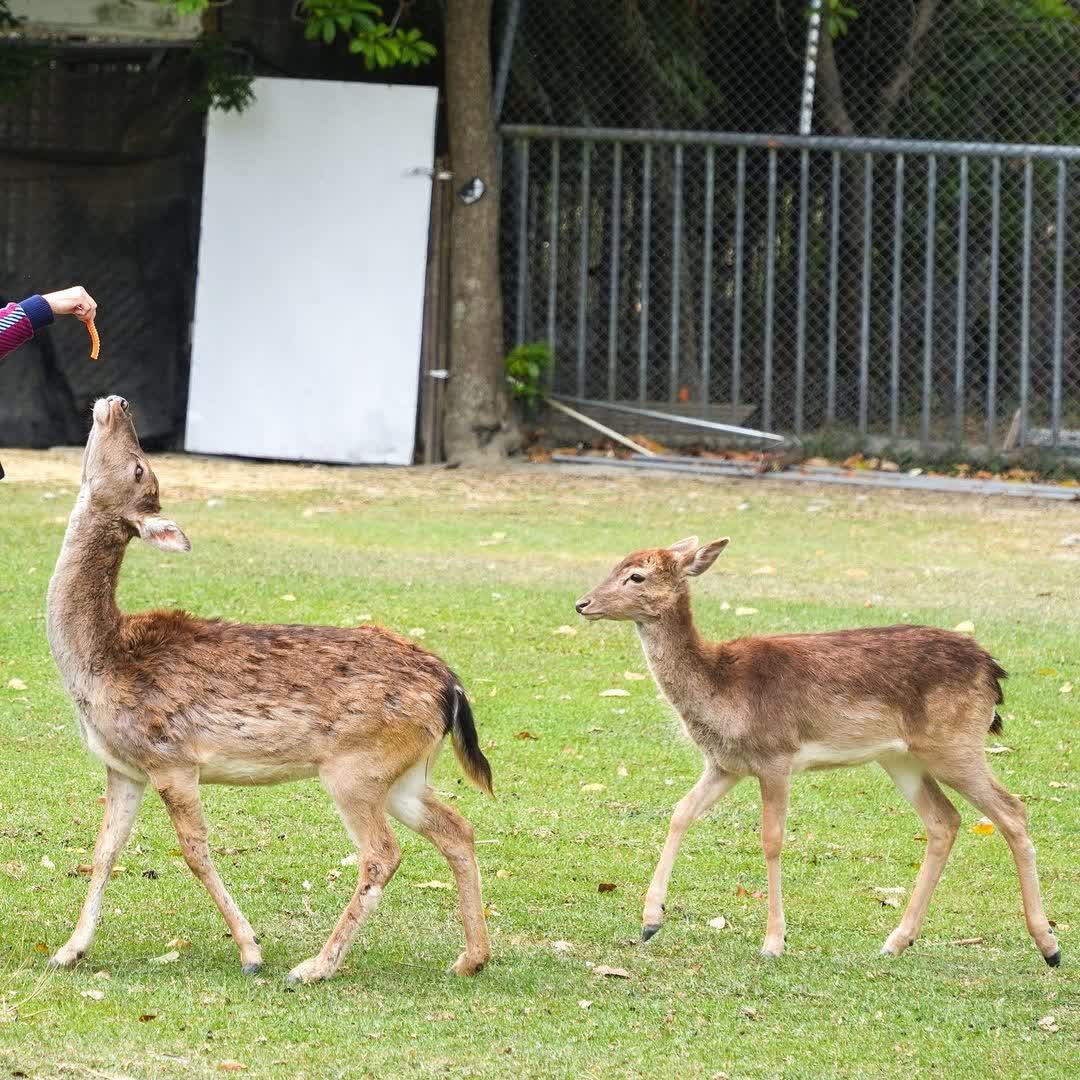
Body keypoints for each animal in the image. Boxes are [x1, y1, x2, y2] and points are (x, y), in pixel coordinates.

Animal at [45, 396, 493, 985]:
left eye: (141, 467)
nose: (117, 403)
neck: (101, 663)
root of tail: (452, 687)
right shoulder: (124, 767)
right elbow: (104, 851)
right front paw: (68, 950)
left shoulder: (171, 758)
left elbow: (194, 851)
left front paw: (250, 950)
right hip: (405, 775)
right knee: (457, 828)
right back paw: (470, 958)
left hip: (356, 766)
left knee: (381, 853)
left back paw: (315, 966)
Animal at [575, 536, 1060, 967]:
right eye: (616, 564)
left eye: (636, 576)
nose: (582, 603)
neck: (720, 690)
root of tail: (993, 672)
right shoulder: (726, 764)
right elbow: (680, 812)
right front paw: (650, 921)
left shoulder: (776, 756)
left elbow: (771, 839)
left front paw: (773, 942)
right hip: (901, 757)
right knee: (944, 820)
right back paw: (896, 941)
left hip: (955, 742)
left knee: (1012, 810)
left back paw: (1049, 945)